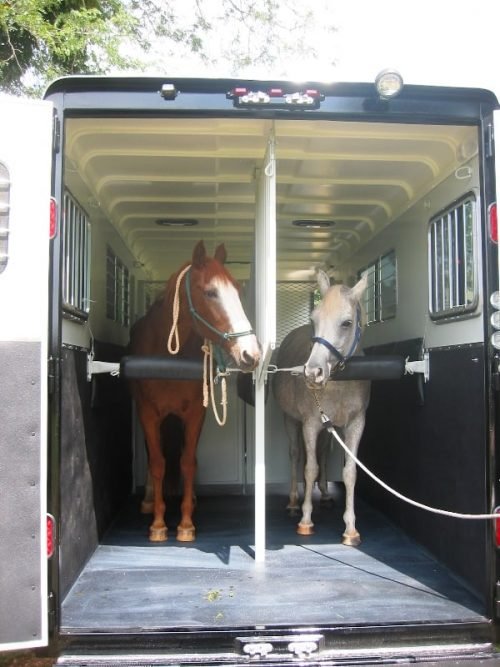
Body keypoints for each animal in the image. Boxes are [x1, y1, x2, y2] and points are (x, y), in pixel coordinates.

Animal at [128, 240, 261, 542]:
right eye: (211, 292)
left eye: (238, 290)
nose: (251, 353)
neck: (167, 357)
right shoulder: (148, 414)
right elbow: (158, 463)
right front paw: (158, 524)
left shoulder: (195, 415)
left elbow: (188, 462)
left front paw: (186, 524)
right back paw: (150, 499)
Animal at [273, 270, 370, 546]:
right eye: (314, 319)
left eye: (346, 322)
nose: (312, 372)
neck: (338, 384)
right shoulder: (310, 423)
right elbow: (309, 468)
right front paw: (305, 520)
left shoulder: (356, 424)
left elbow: (349, 472)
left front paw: (351, 529)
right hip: (291, 421)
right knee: (297, 455)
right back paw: (294, 502)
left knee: (324, 453)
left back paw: (325, 495)